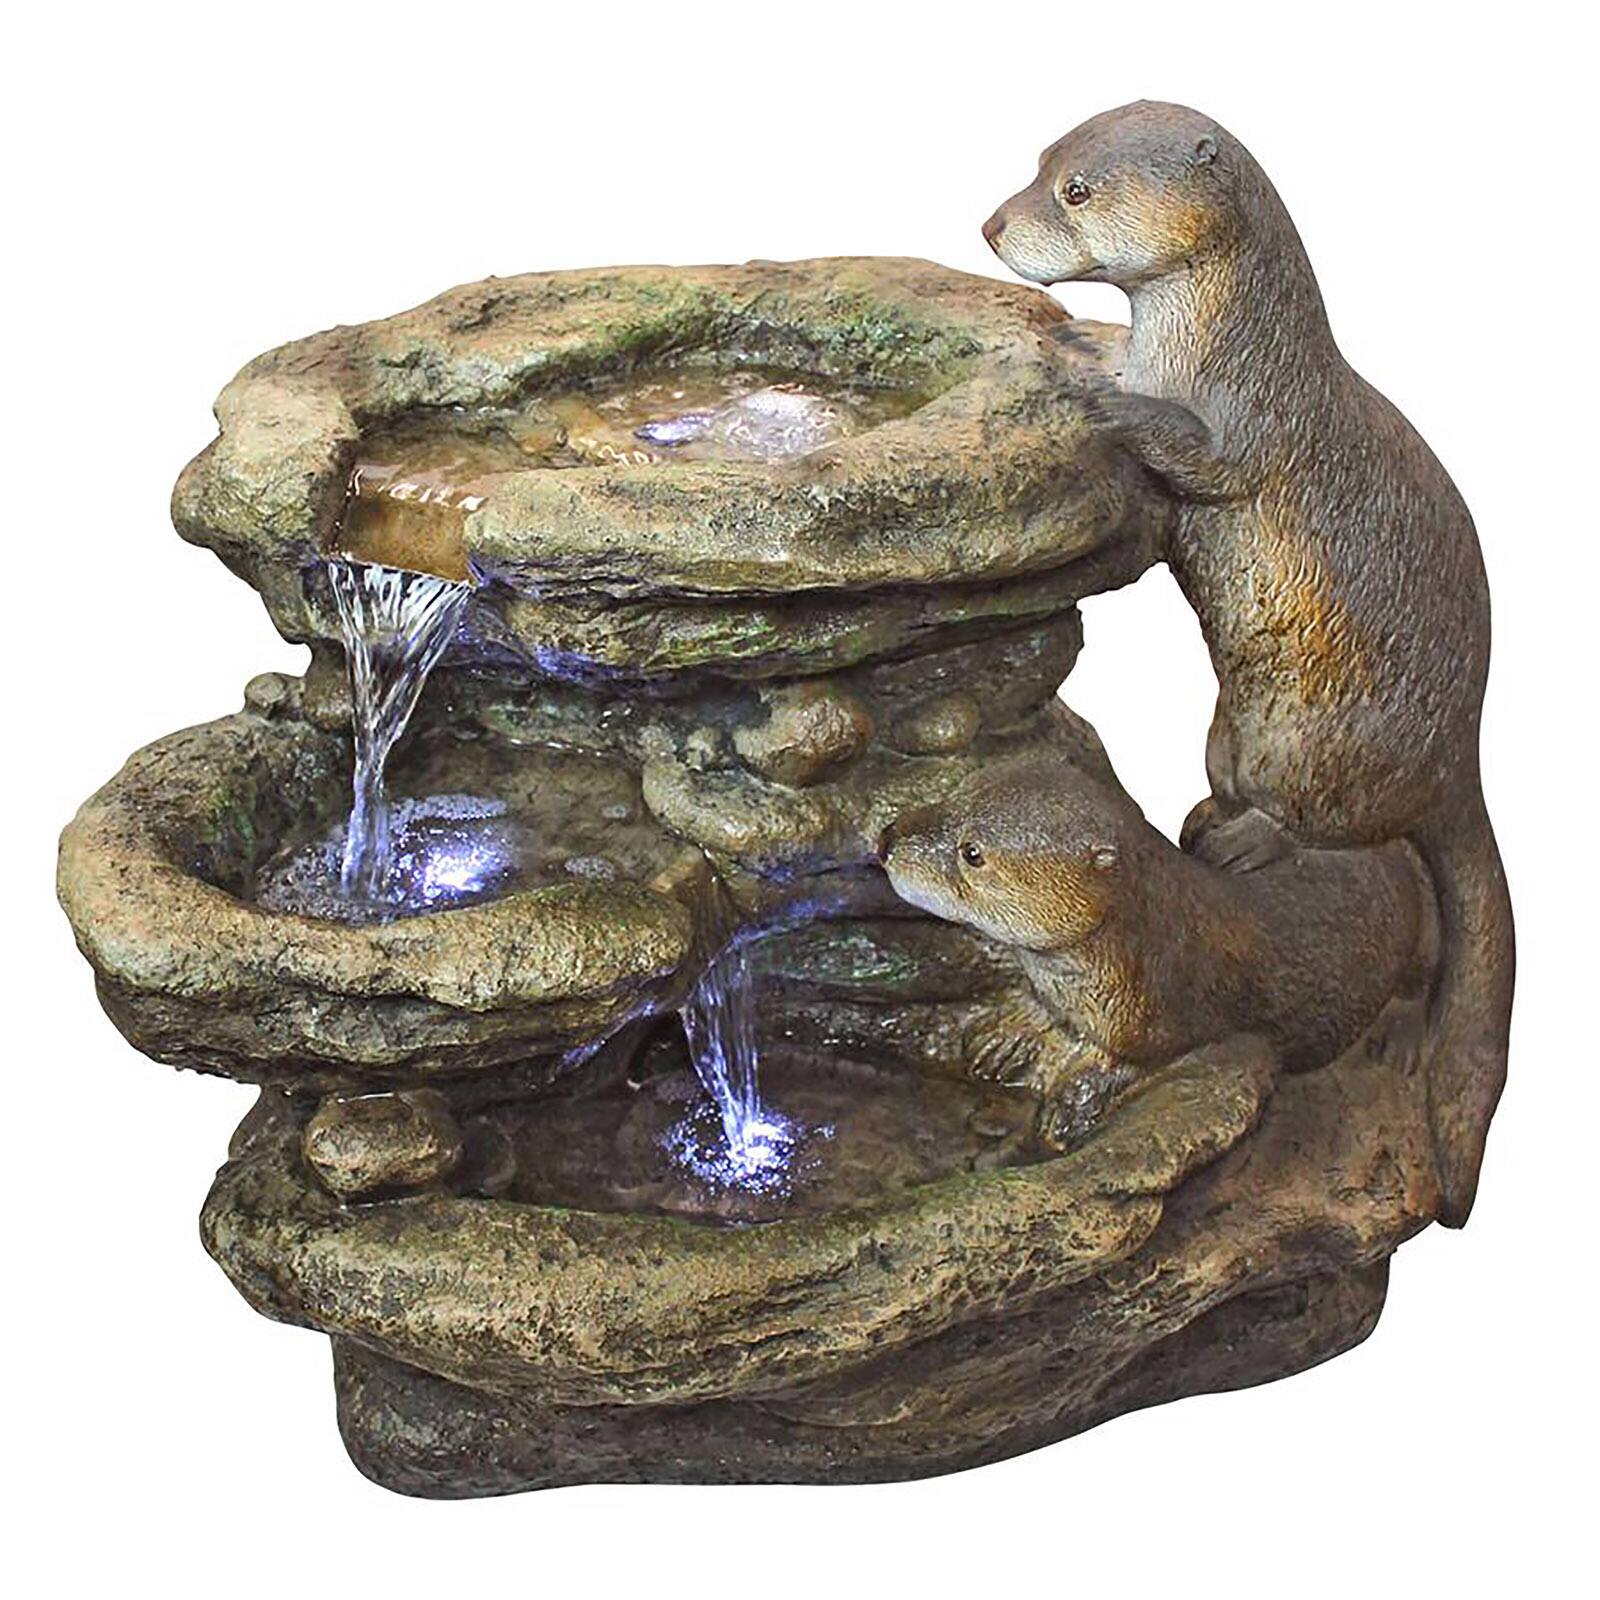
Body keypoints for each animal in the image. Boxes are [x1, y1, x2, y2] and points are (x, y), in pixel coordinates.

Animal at [883, 751, 1429, 1141]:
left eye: (972, 853)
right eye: (952, 796)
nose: (887, 840)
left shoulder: (1163, 1013)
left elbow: (1135, 1061)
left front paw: (1076, 1097)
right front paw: (1011, 1030)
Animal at [982, 102, 1512, 1223]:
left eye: (1075, 190)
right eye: (1038, 163)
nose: (991, 225)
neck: (1209, 355)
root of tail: (1460, 762)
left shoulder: (1257, 425)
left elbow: (1205, 456)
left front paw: (1093, 399)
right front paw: (1084, 366)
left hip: (1323, 736)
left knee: (1334, 822)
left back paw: (1242, 842)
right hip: (1228, 729)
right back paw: (1199, 820)